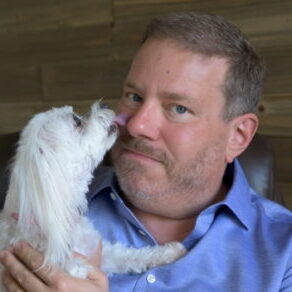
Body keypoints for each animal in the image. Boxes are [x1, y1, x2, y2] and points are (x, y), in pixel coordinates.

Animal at [0, 101, 186, 286]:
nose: (105, 104)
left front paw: (168, 252)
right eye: (77, 122)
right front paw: (75, 268)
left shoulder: (100, 252)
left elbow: (128, 256)